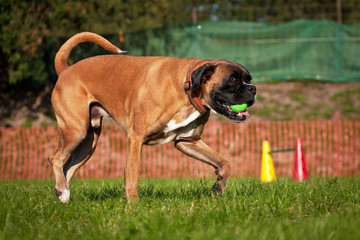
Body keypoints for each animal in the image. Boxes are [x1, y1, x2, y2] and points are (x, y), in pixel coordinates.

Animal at [49, 31, 256, 203]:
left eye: (249, 79)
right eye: (233, 79)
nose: (253, 89)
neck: (187, 86)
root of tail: (66, 69)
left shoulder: (187, 141)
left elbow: (225, 163)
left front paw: (218, 187)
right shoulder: (135, 138)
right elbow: (132, 176)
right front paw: (133, 204)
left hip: (88, 143)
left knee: (68, 168)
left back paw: (62, 195)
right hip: (76, 131)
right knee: (55, 158)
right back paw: (63, 191)